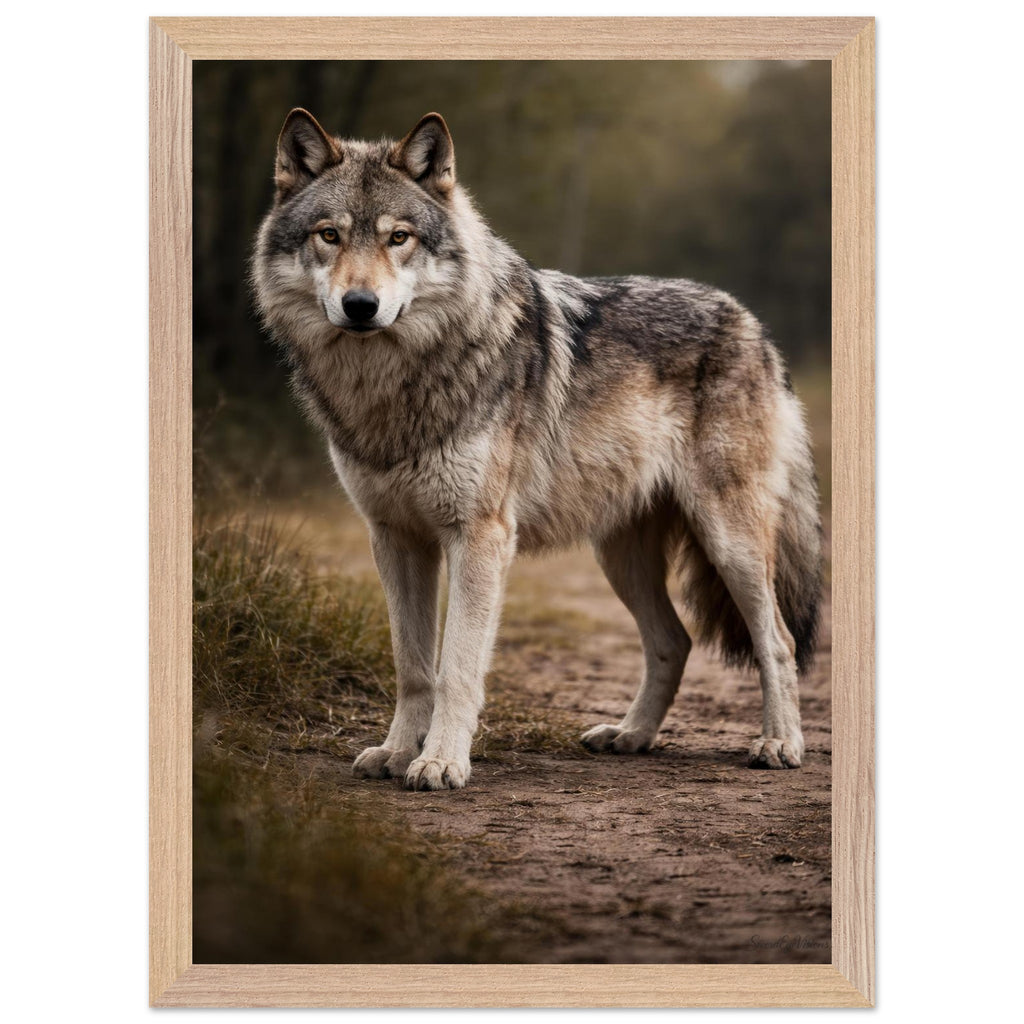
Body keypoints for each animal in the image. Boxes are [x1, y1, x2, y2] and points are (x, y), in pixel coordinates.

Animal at [252, 109, 823, 791]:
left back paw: (780, 743)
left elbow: (456, 667)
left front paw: (440, 762)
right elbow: (412, 667)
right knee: (674, 641)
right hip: (620, 557)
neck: (394, 384)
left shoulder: (480, 537)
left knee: (778, 642)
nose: (360, 306)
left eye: (399, 238)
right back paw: (631, 735)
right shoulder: (394, 538)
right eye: (330, 235)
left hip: (729, 542)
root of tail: (752, 324)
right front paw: (394, 753)